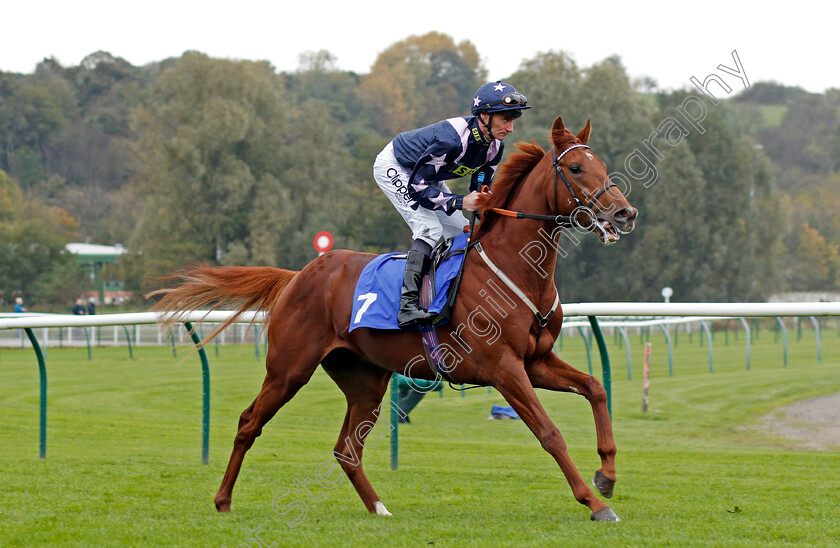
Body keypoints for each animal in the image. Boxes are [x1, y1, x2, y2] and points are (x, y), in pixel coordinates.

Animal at [153, 116, 636, 524]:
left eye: (602, 165)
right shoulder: (504, 368)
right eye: (575, 167)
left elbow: (595, 388)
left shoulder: (535, 361)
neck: (515, 269)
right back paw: (223, 499)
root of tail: (298, 275)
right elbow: (549, 433)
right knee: (248, 422)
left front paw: (607, 476)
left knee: (346, 449)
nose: (623, 213)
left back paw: (379, 507)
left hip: (365, 379)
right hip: (289, 369)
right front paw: (594, 504)